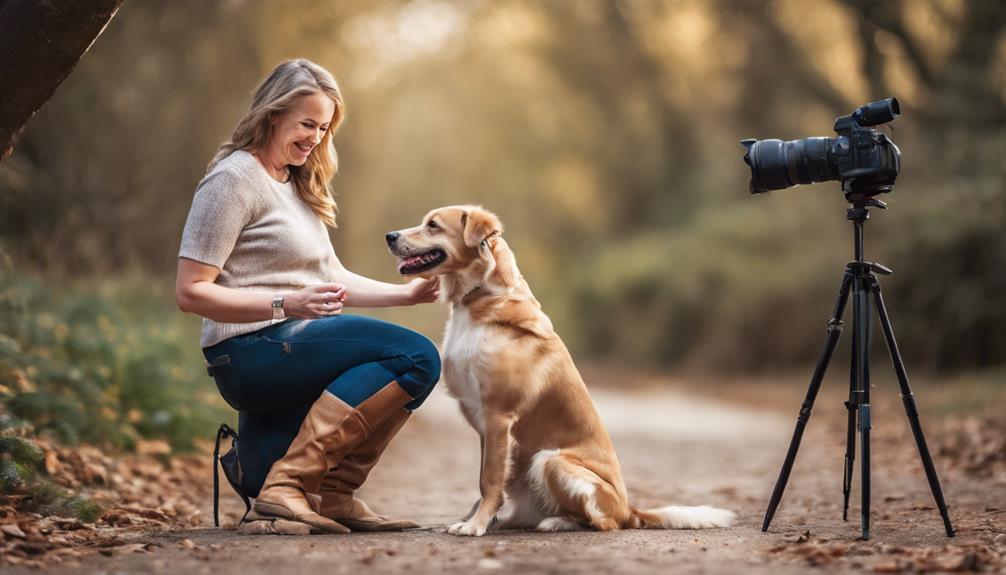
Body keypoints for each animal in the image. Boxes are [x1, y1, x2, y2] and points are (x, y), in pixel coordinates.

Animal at [384, 205, 732, 534]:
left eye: (433, 225)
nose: (390, 236)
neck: (482, 298)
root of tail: (629, 509)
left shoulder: (498, 416)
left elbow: (489, 481)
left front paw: (476, 525)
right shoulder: (488, 427)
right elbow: (483, 479)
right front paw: (475, 519)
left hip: (551, 460)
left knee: (602, 523)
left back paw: (557, 522)